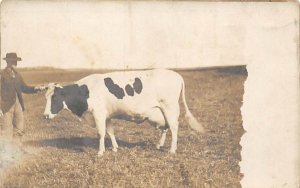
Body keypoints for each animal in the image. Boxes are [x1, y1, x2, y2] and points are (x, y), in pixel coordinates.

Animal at [42, 69, 205, 156]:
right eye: (45, 97)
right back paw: (159, 145)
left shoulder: (98, 114)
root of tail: (176, 75)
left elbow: (101, 133)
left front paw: (100, 152)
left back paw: (172, 150)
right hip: (160, 112)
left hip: (170, 108)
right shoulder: (107, 115)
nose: (45, 115)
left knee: (174, 127)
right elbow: (110, 132)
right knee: (165, 128)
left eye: (54, 97)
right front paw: (114, 148)